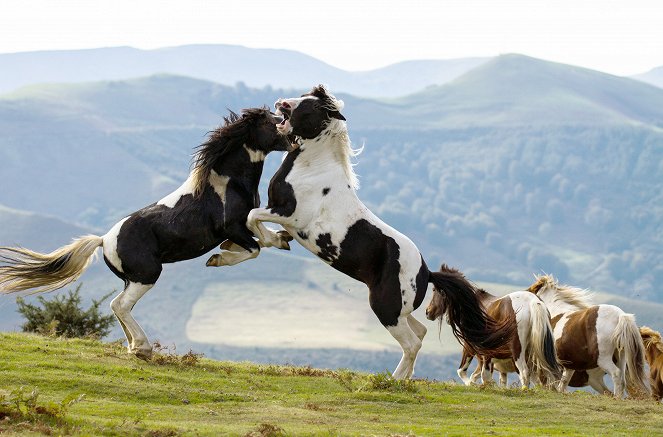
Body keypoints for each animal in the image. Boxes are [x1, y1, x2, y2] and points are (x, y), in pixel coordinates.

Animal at [0, 108, 292, 358]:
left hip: (132, 279)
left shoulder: (242, 224)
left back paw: (133, 346)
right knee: (120, 305)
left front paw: (279, 239)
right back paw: (142, 348)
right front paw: (219, 258)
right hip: (147, 274)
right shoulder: (231, 226)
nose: (293, 140)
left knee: (118, 305)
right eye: (273, 121)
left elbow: (264, 236)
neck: (226, 182)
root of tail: (104, 241)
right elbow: (255, 247)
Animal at [210, 84, 516, 378]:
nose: (281, 103)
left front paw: (263, 243)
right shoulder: (281, 215)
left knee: (411, 343)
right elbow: (256, 230)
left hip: (385, 308)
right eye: (302, 94)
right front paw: (228, 254)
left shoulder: (291, 216)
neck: (313, 171)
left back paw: (392, 381)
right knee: (420, 333)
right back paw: (404, 378)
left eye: (312, 106)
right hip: (400, 311)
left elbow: (253, 220)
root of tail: (426, 272)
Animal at [426, 284, 560, 386]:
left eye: (434, 290)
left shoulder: (470, 347)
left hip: (518, 351)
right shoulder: (486, 356)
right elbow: (481, 375)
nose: (428, 312)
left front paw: (474, 385)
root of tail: (533, 301)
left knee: (524, 373)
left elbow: (464, 372)